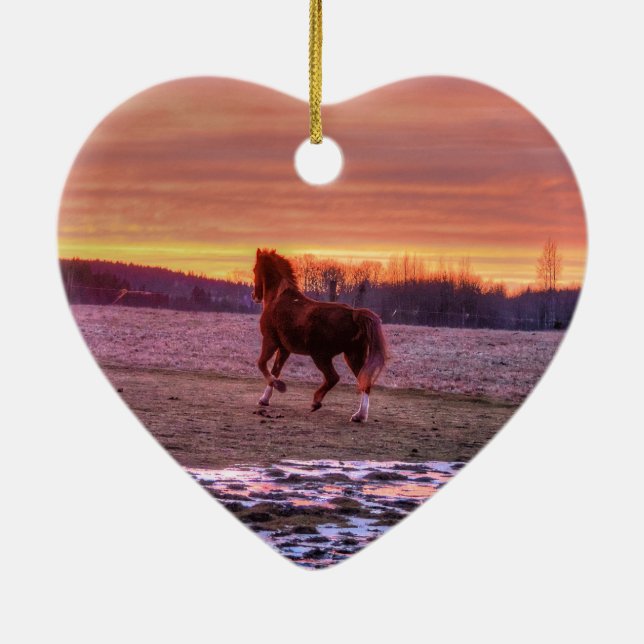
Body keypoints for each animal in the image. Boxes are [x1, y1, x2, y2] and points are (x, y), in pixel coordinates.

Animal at [251, 248, 387, 422]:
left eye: (255, 269)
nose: (254, 296)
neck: (278, 298)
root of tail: (354, 313)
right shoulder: (284, 349)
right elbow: (275, 370)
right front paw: (264, 399)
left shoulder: (270, 341)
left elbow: (261, 364)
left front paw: (279, 387)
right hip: (353, 355)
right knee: (364, 381)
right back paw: (359, 416)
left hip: (321, 355)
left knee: (333, 377)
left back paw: (316, 402)